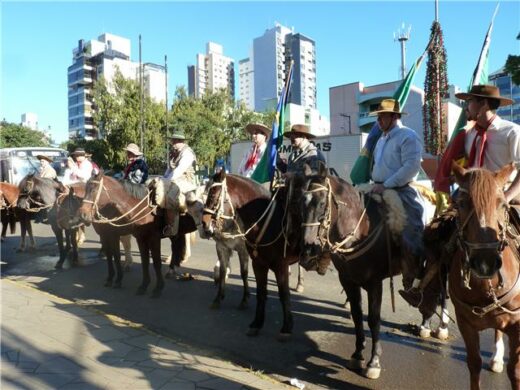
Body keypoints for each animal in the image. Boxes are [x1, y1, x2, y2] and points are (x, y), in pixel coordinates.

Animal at [200, 171, 308, 338]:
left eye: (213, 195)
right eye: (203, 194)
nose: (205, 226)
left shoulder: (244, 250)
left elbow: (244, 273)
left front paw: (245, 299)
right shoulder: (222, 247)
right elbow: (224, 270)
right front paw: (218, 298)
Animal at [292, 163, 434, 380]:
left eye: (322, 202)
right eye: (301, 201)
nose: (308, 249)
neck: (359, 231)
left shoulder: (375, 283)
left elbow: (374, 320)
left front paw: (373, 362)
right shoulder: (348, 280)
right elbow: (358, 315)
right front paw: (357, 354)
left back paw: (429, 325)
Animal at [446, 163, 520, 388]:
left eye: (502, 205)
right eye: (461, 203)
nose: (485, 263)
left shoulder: (517, 325)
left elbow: (514, 371)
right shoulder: (465, 323)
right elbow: (474, 364)